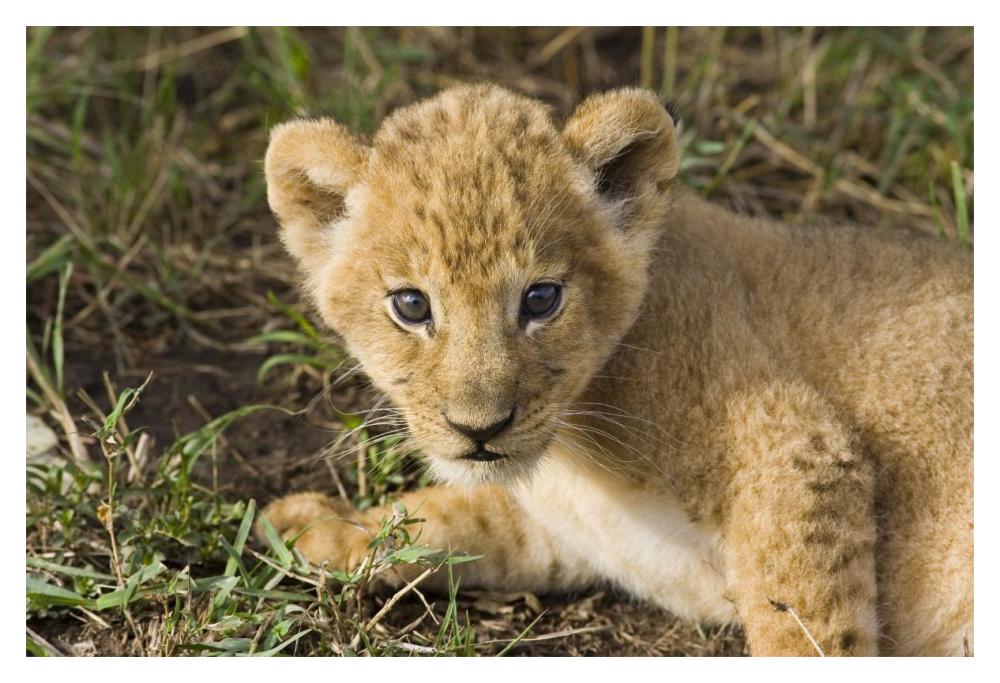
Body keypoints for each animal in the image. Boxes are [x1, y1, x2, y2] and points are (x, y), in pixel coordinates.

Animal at [260, 84, 972, 656]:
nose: (479, 430)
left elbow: (803, 625)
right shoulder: (569, 531)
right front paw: (319, 527)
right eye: (411, 305)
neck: (574, 452)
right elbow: (457, 517)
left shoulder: (798, 448)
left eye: (541, 299)